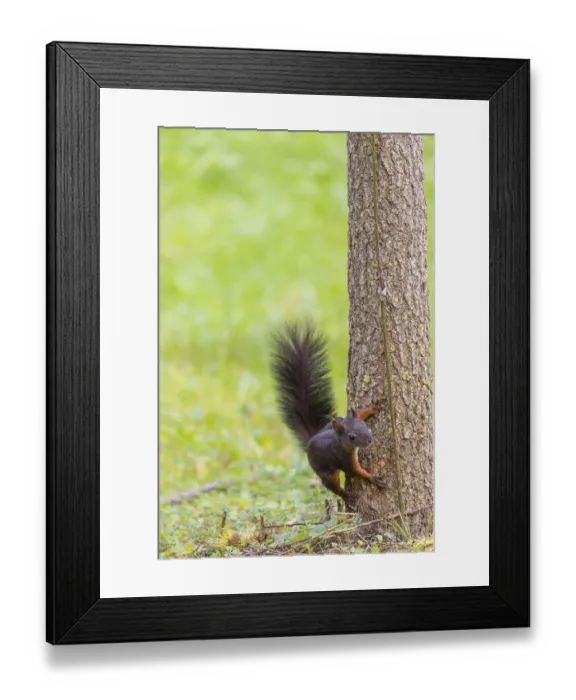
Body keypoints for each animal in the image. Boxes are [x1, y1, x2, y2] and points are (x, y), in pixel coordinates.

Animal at [270, 321, 385, 505]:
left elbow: (359, 412)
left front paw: (373, 408)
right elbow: (355, 472)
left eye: (364, 425)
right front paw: (372, 478)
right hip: (326, 471)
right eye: (352, 437)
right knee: (332, 484)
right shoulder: (345, 459)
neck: (339, 440)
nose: (369, 439)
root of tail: (310, 442)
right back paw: (346, 496)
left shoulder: (346, 418)